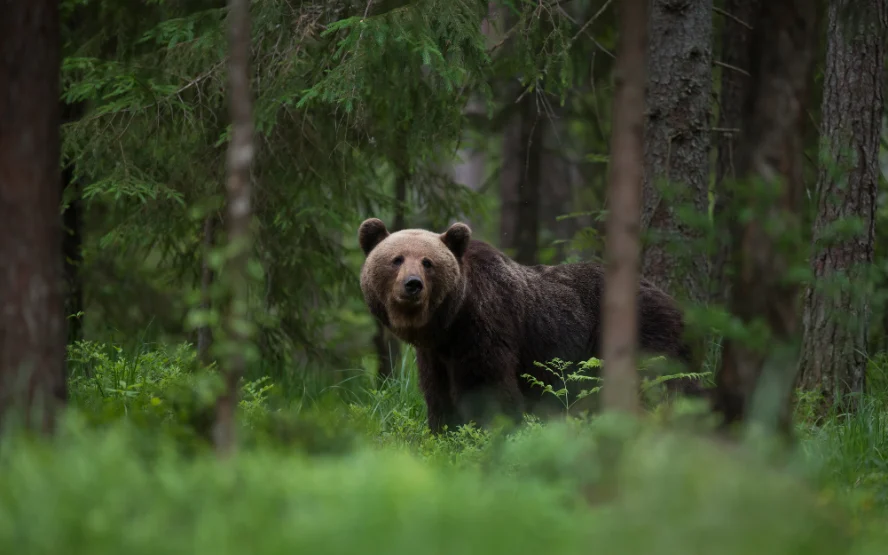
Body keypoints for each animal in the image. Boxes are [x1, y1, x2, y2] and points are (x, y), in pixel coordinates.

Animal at [357, 217, 706, 434]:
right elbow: (437, 393)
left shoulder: (484, 327)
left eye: (428, 262)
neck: (449, 322)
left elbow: (487, 387)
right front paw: (444, 432)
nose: (412, 285)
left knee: (662, 385)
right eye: (397, 259)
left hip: (645, 333)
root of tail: (674, 301)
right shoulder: (436, 354)